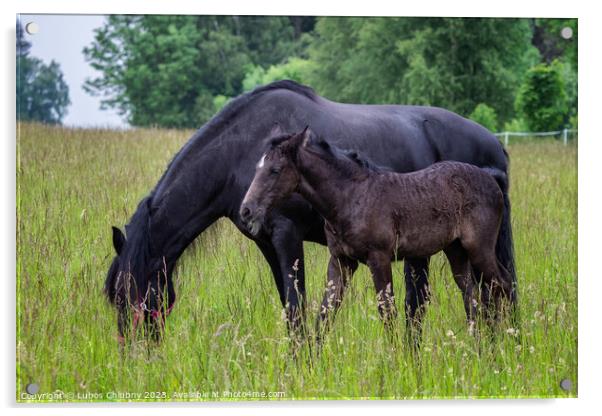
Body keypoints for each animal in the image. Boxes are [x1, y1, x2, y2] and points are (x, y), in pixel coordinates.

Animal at [239, 129, 510, 342]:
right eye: (258, 168)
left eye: (275, 170)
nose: (246, 210)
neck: (350, 197)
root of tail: (490, 178)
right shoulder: (341, 261)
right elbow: (326, 312)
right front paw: (311, 362)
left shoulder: (378, 258)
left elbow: (387, 311)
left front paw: (397, 361)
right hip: (456, 251)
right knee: (472, 295)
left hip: (479, 249)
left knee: (501, 287)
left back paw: (504, 344)